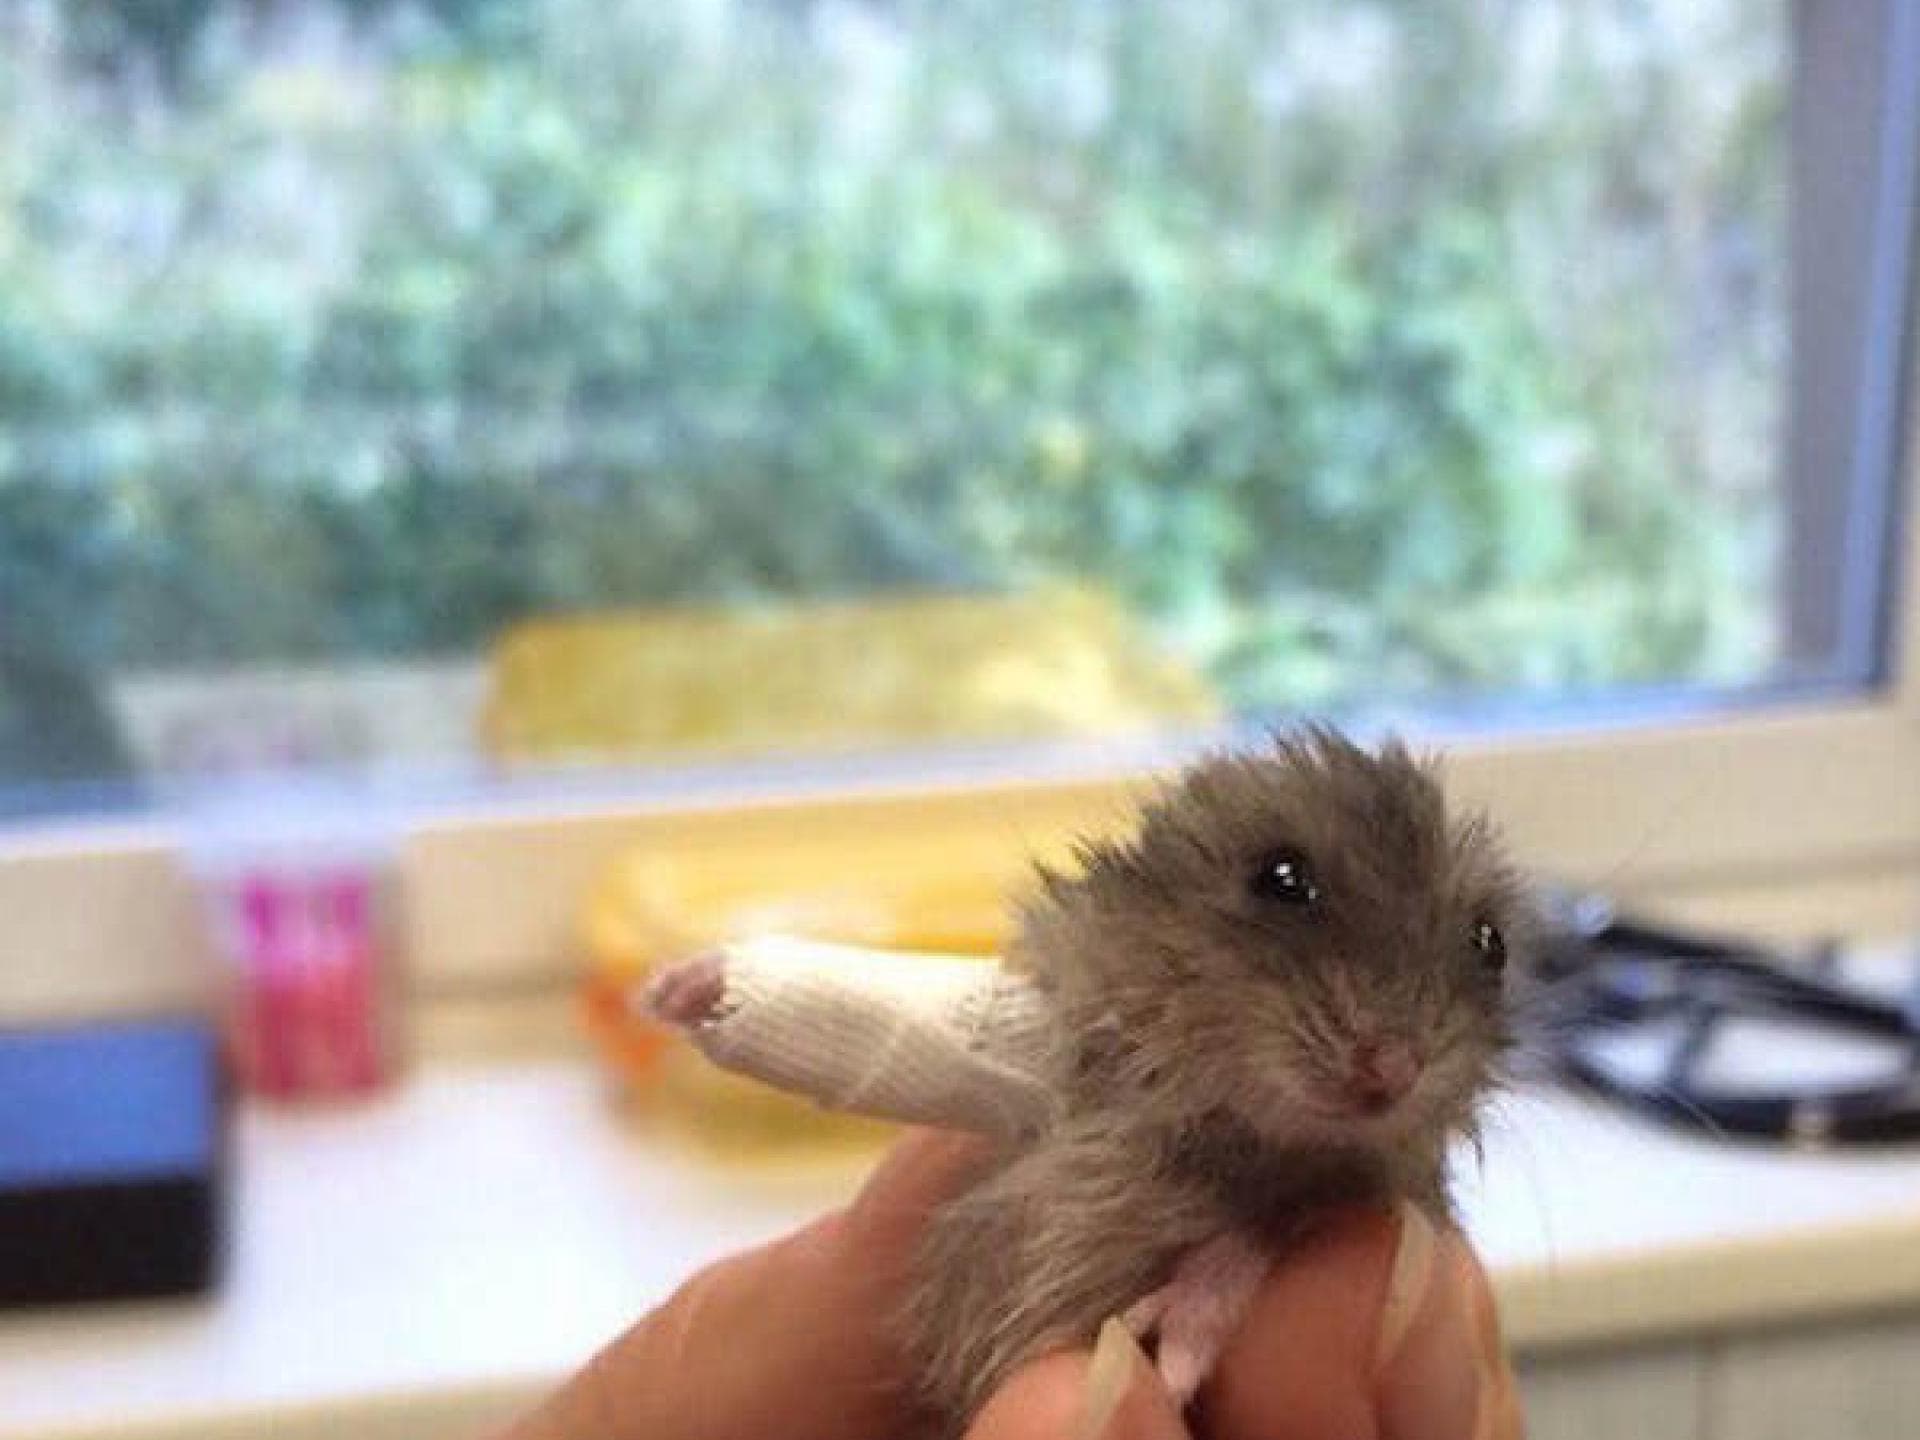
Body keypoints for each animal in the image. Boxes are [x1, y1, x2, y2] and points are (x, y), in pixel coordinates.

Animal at [901, 727, 1533, 1430]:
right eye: (1283, 878)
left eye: (1491, 942)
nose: (1394, 1070)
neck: (1222, 1137)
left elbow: (1259, 1235)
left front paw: (1168, 1347)